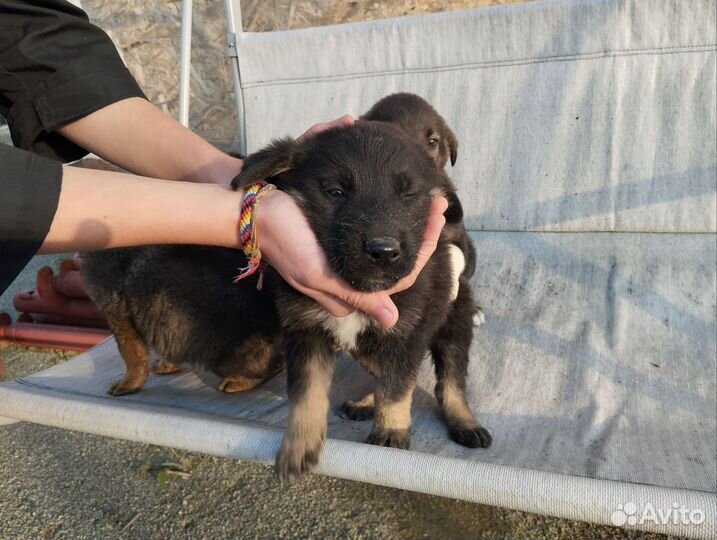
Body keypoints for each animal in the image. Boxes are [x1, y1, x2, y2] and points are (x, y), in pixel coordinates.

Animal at [78, 245, 280, 392]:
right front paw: (167, 365)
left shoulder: (118, 315)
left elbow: (132, 356)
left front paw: (126, 385)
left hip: (221, 359)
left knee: (272, 367)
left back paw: (237, 382)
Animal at [232, 121, 490, 480]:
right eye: (335, 192)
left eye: (408, 195)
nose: (383, 252)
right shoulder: (306, 333)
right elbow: (307, 393)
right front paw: (299, 446)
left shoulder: (405, 335)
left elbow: (396, 389)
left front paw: (390, 434)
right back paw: (365, 403)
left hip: (454, 321)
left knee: (449, 381)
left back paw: (465, 421)